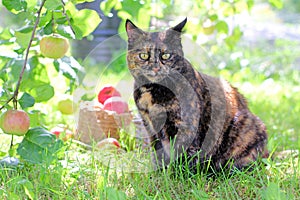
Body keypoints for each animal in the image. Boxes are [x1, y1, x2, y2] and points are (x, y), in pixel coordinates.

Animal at [125, 18, 268, 172]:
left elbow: (185, 157)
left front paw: (179, 176)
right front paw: (159, 173)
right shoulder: (149, 125)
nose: (156, 68)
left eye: (166, 55)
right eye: (144, 55)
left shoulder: (186, 126)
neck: (153, 91)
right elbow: (158, 154)